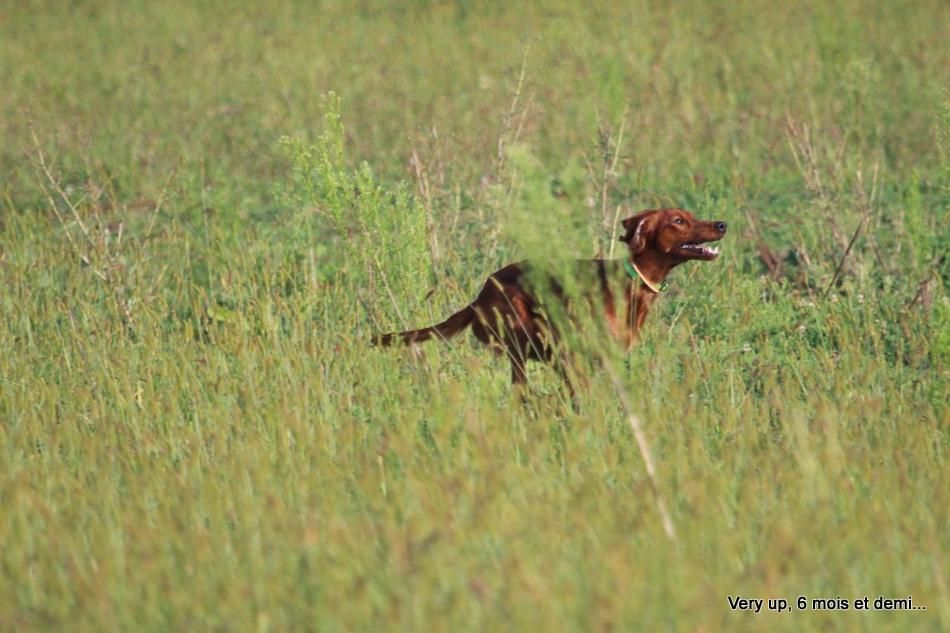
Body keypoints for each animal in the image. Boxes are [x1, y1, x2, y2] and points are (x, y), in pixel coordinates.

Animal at [374, 207, 728, 396]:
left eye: (691, 216)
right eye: (678, 221)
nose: (722, 224)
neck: (630, 282)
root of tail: (478, 297)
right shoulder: (575, 358)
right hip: (520, 342)